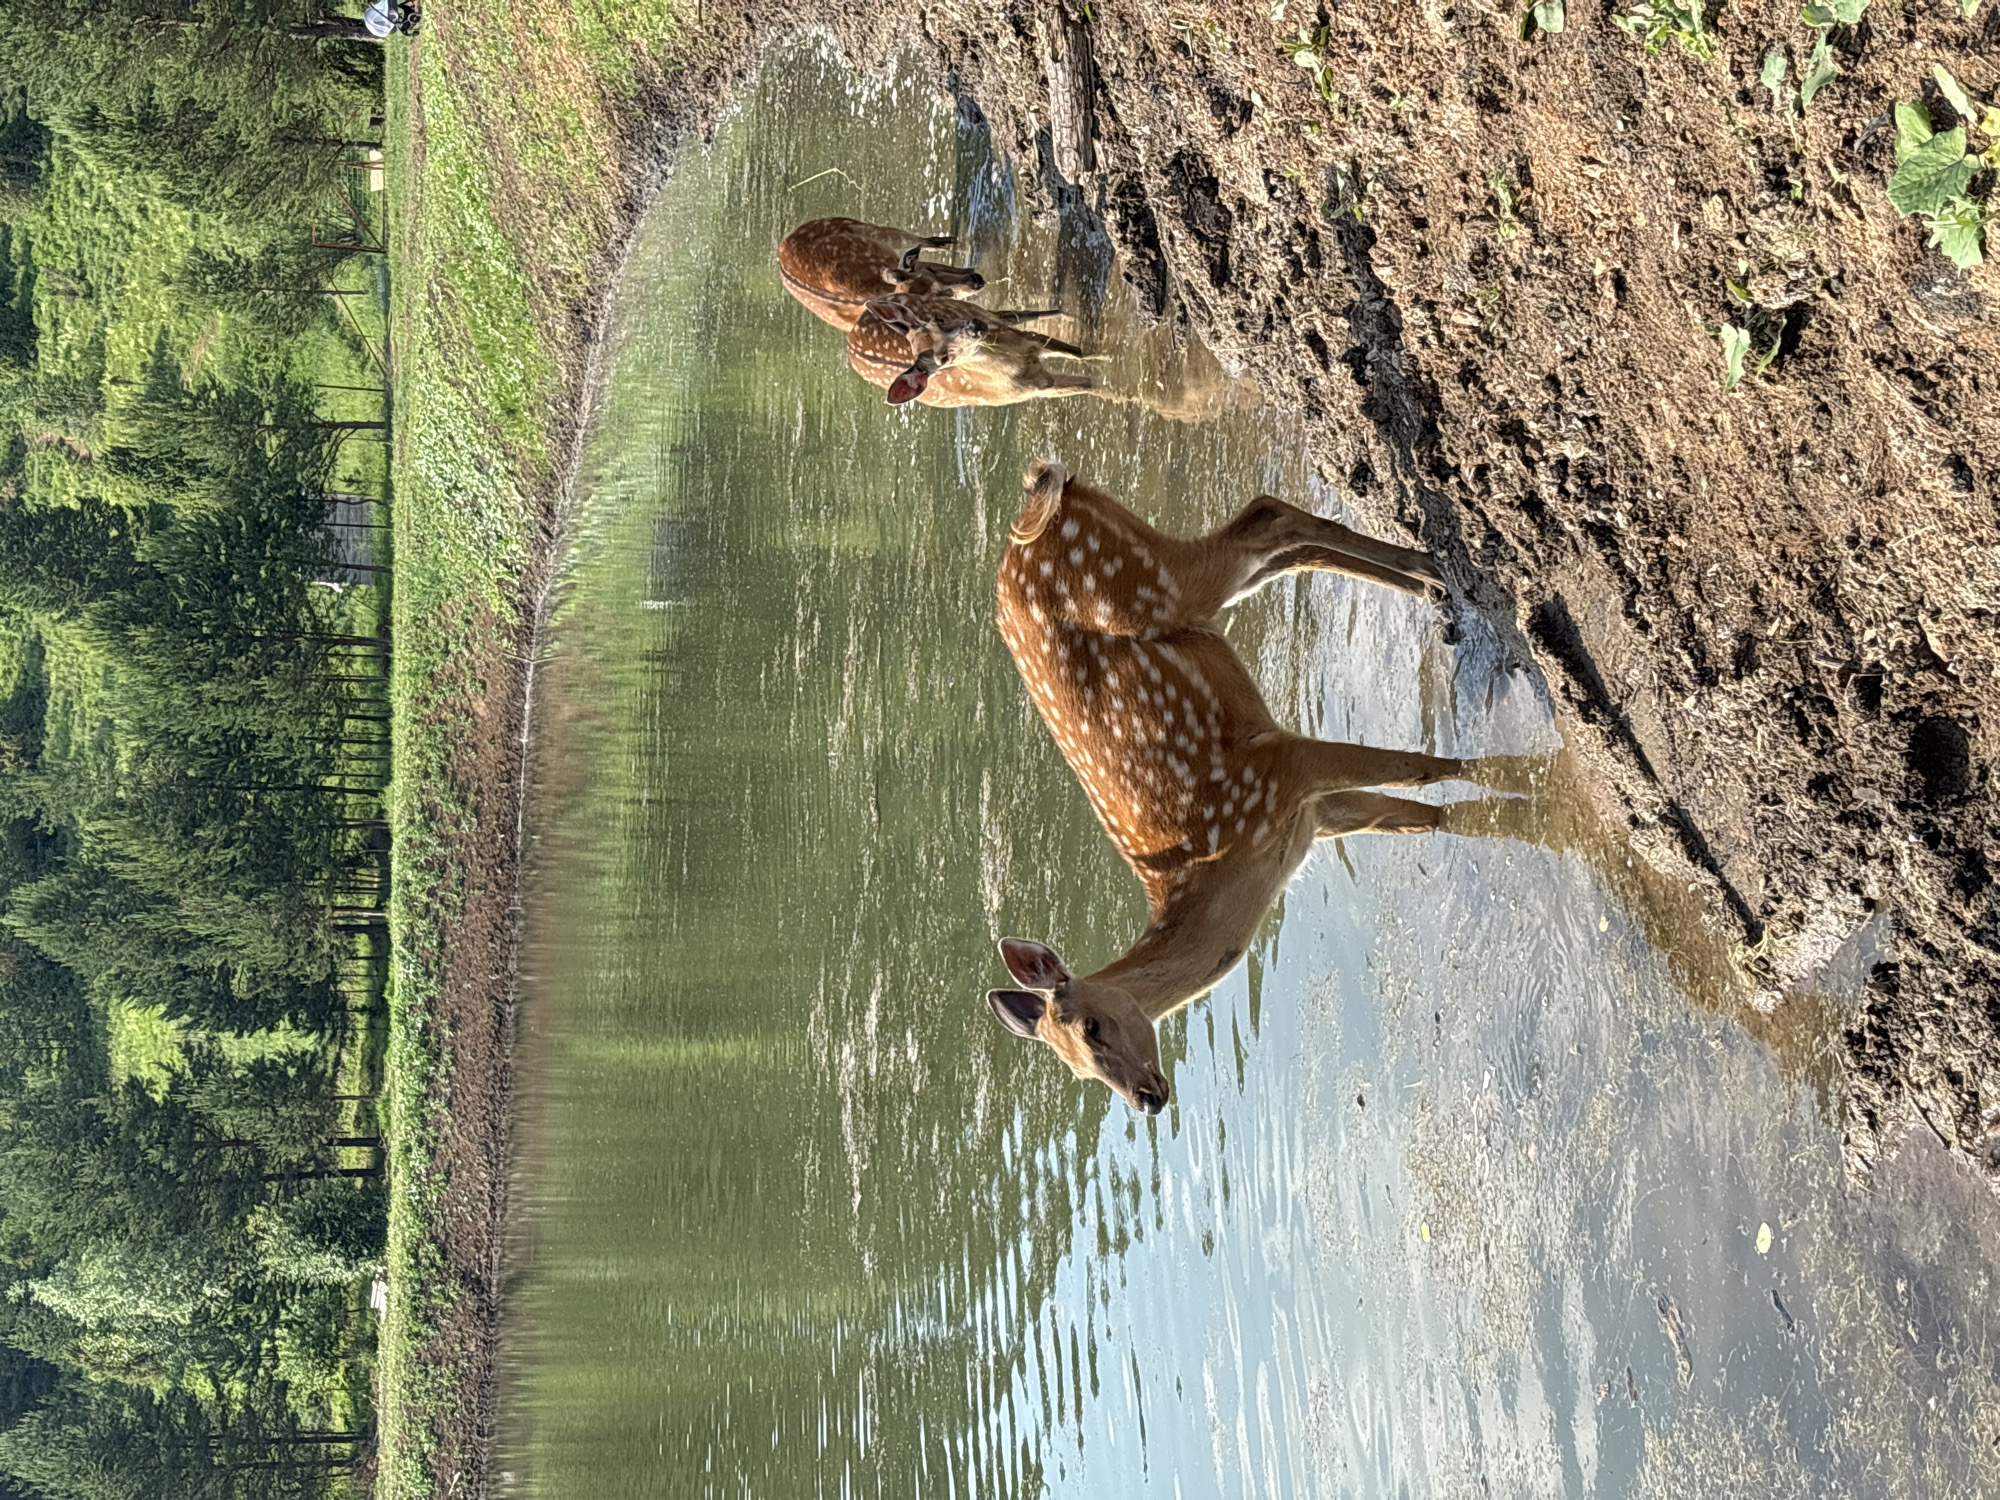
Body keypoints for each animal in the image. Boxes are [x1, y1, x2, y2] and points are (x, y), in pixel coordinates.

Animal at [777, 217, 987, 333]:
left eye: (931, 271)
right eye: (938, 300)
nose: (977, 282)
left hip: (863, 226)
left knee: (921, 240)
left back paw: (959, 243)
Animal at [848, 294, 1094, 407]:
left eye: (938, 319)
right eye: (943, 359)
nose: (975, 327)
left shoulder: (1029, 340)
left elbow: (1078, 353)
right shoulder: (1033, 389)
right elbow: (1089, 385)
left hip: (979, 311)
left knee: (1009, 314)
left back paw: (1067, 314)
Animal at [987, 461, 1536, 1116]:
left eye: (1091, 1027)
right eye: (1077, 1073)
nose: (1147, 1098)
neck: (1233, 865)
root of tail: (1031, 514)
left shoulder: (1279, 766)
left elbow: (1418, 768)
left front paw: (1529, 781)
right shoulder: (1310, 813)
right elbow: (1414, 817)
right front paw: (1524, 814)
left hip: (1159, 579)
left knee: (1266, 515)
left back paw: (1431, 571)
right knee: (1282, 546)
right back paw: (1430, 580)